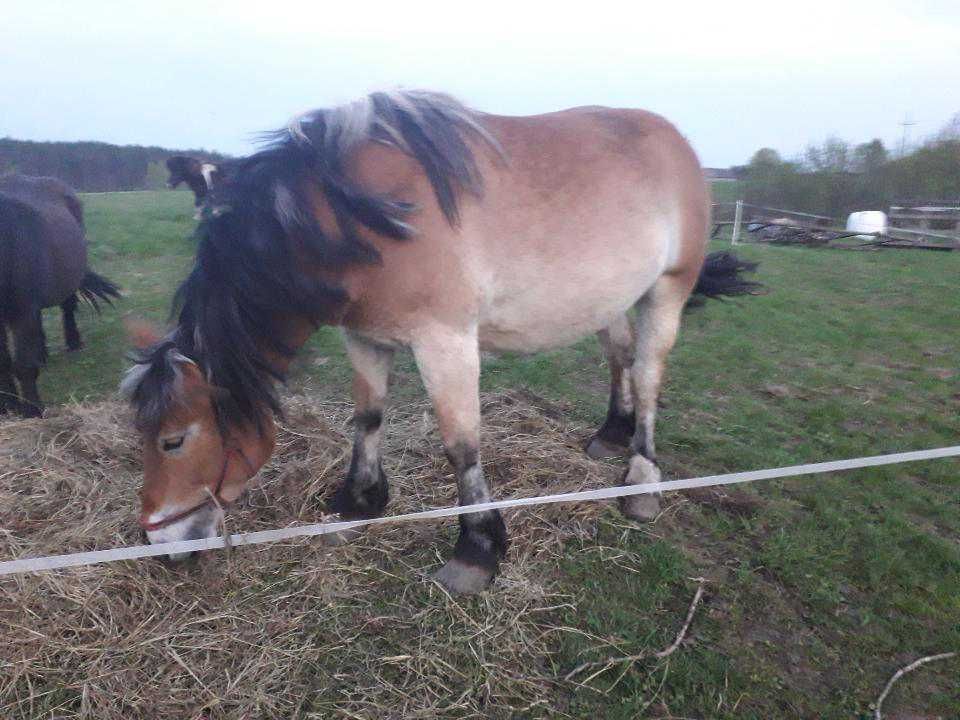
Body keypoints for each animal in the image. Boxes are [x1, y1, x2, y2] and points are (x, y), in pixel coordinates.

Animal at [0, 174, 120, 416]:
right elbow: (3, 363)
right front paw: (8, 406)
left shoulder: (22, 312)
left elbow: (24, 366)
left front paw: (33, 409)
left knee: (68, 307)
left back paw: (73, 342)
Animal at [124, 91, 760, 592]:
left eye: (174, 441)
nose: (158, 544)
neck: (362, 220)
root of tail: (678, 143)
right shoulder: (364, 338)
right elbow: (368, 418)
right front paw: (358, 502)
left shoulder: (445, 342)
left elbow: (461, 446)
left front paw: (476, 550)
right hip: (607, 299)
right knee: (620, 357)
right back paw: (611, 433)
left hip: (666, 290)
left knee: (649, 373)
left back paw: (642, 479)